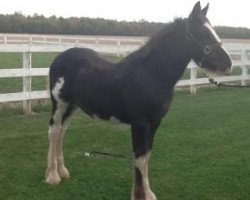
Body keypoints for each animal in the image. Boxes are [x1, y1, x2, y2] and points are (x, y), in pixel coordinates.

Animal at [45, 1, 232, 200]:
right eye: (202, 33)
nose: (228, 64)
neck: (150, 75)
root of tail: (60, 57)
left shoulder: (155, 123)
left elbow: (146, 157)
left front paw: (148, 194)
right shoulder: (140, 124)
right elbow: (140, 159)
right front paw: (138, 195)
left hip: (73, 105)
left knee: (62, 130)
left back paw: (63, 171)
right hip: (59, 103)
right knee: (54, 130)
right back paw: (53, 176)